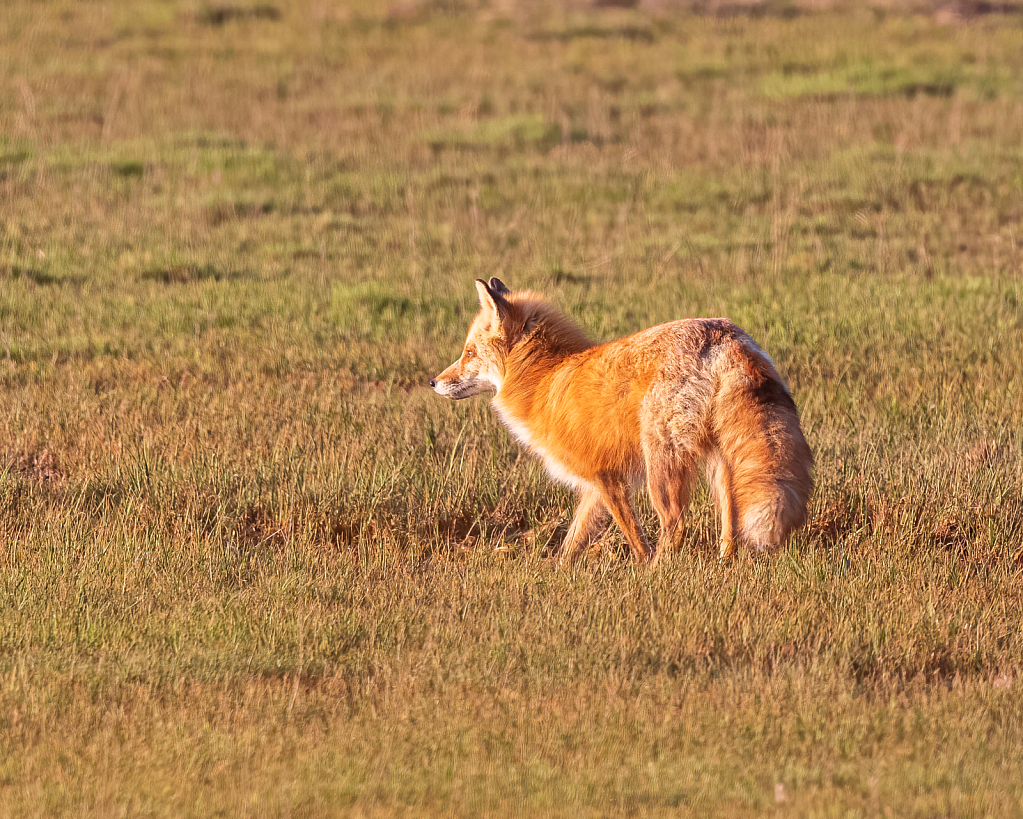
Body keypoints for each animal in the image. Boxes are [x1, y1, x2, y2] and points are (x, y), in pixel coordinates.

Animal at [431, 276, 814, 564]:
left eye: (468, 353)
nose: (433, 382)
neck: (544, 378)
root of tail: (725, 333)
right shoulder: (596, 486)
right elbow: (572, 543)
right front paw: (558, 573)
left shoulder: (607, 476)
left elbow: (634, 538)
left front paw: (642, 569)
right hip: (721, 462)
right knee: (729, 523)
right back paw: (723, 566)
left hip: (661, 465)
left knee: (675, 525)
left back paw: (660, 573)